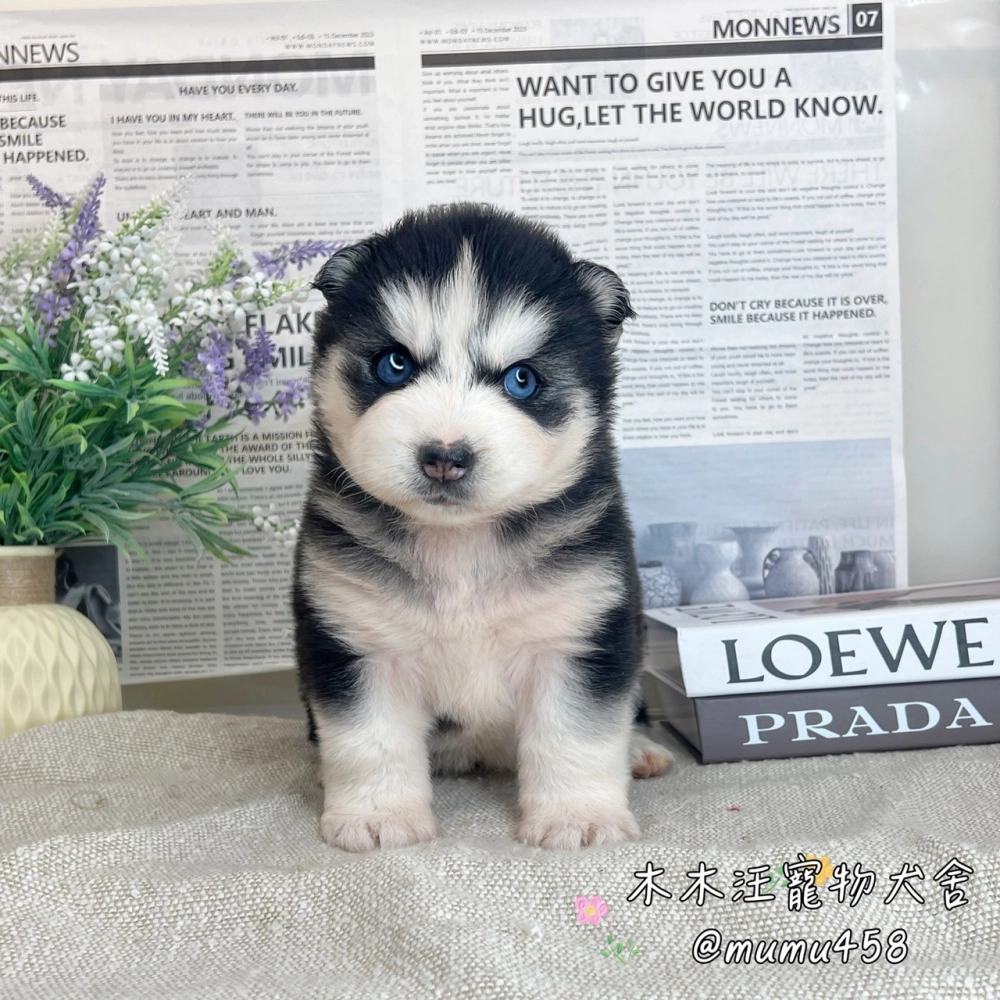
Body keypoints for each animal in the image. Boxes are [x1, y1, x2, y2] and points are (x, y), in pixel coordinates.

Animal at [292, 203, 671, 852]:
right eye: (394, 364)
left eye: (522, 380)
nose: (444, 455)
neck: (459, 546)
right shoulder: (357, 641)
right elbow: (369, 740)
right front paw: (379, 815)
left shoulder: (577, 633)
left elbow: (577, 735)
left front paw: (578, 817)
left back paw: (640, 751)